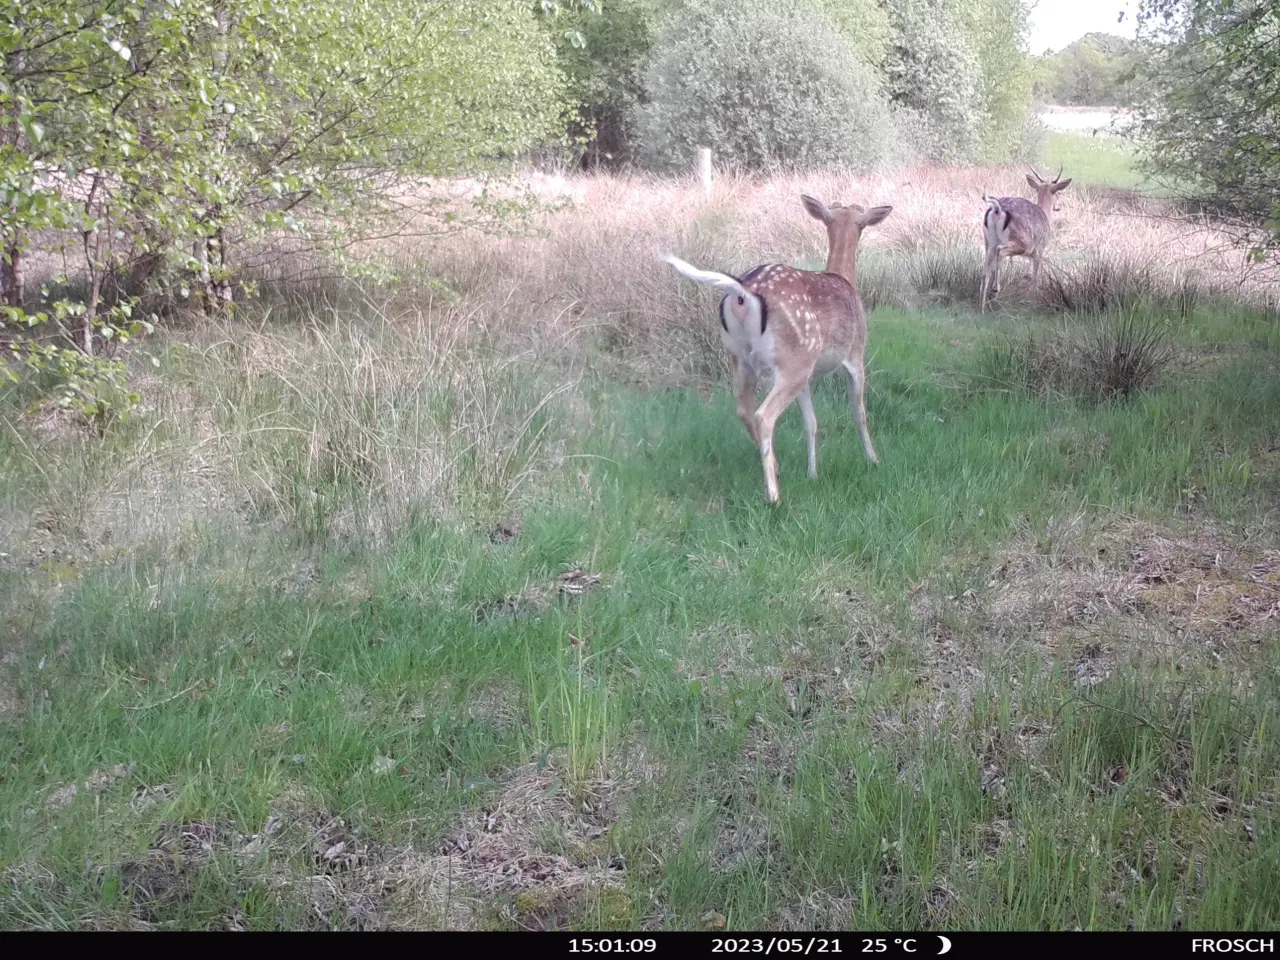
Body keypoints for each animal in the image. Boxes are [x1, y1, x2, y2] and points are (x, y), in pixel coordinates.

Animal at [660, 197, 890, 512]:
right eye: (863, 222)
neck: (846, 280)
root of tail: (745, 292)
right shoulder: (855, 355)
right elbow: (859, 413)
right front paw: (873, 459)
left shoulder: (808, 373)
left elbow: (811, 422)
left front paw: (812, 473)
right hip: (793, 359)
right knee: (763, 415)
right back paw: (773, 495)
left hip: (744, 358)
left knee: (743, 408)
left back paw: (776, 467)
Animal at [977, 165, 1070, 312]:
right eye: (1058, 193)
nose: (1058, 207)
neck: (1045, 214)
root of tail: (997, 209)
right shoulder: (1038, 249)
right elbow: (1035, 276)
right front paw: (1032, 299)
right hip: (1021, 241)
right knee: (1000, 251)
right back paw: (996, 289)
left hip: (988, 241)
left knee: (985, 271)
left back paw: (982, 307)